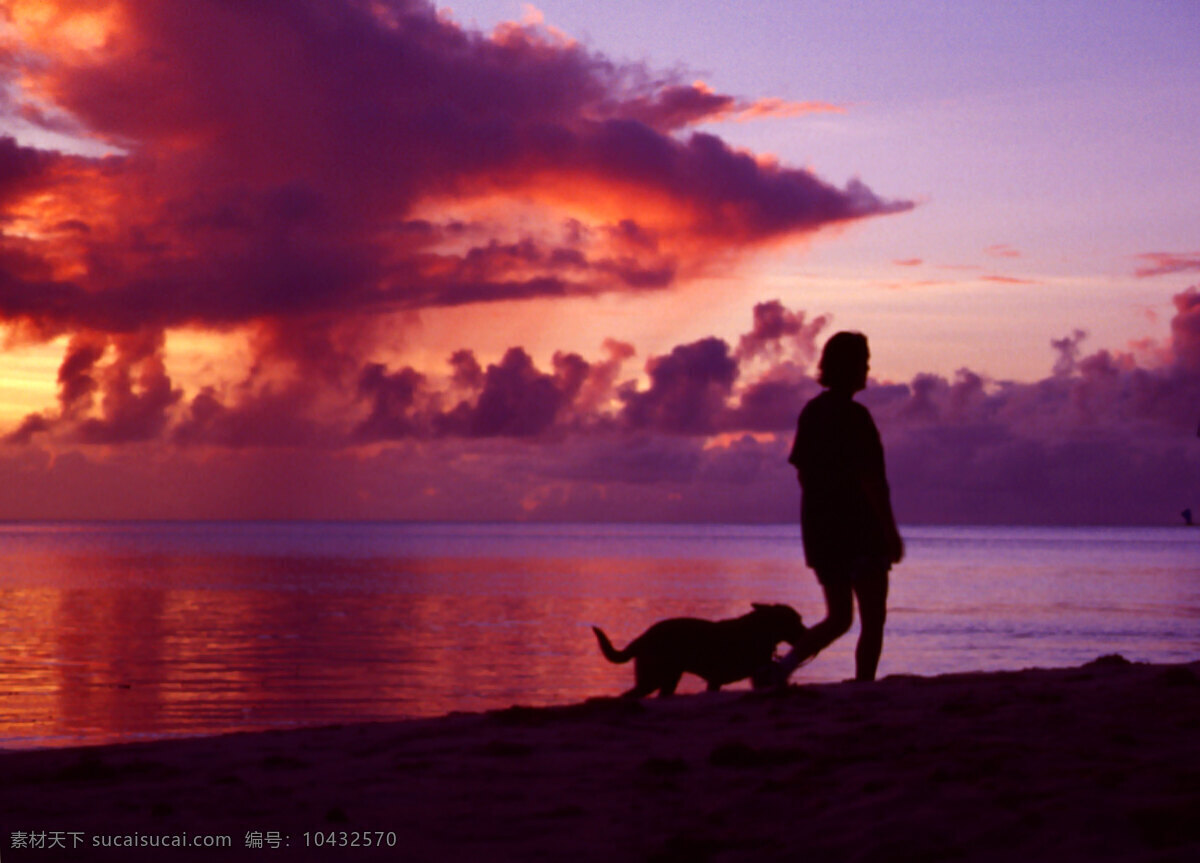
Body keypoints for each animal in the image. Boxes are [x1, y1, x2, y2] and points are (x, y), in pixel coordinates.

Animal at [592, 604, 806, 700]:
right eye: (796, 620)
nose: (806, 631)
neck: (760, 629)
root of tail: (644, 636)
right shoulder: (721, 677)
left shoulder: (720, 679)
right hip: (653, 678)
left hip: (668, 679)